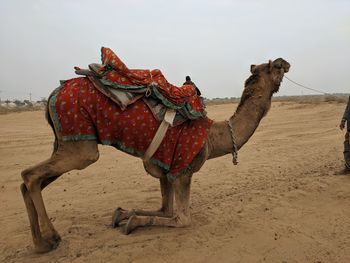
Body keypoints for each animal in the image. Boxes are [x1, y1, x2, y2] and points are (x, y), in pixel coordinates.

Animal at [19, 58, 290, 254]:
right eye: (276, 66)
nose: (286, 62)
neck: (214, 136)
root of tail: (53, 94)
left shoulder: (165, 170)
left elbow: (164, 209)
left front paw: (124, 214)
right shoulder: (183, 169)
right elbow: (181, 219)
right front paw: (132, 221)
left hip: (65, 142)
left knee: (29, 180)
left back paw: (40, 244)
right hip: (80, 145)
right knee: (30, 175)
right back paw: (52, 237)